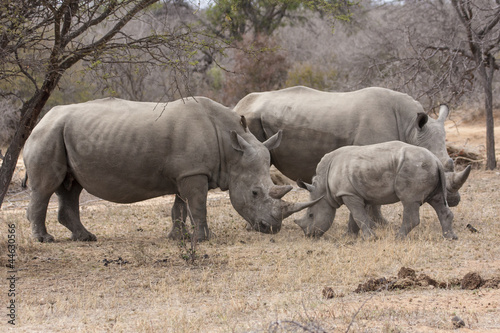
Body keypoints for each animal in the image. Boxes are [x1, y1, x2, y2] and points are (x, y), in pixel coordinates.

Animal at [24, 96, 316, 241]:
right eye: (255, 193)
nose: (271, 228)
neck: (231, 148)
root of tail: (41, 120)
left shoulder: (185, 172)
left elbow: (180, 207)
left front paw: (178, 237)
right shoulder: (193, 173)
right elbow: (197, 205)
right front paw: (203, 238)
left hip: (60, 133)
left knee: (71, 187)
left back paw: (85, 238)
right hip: (47, 134)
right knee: (46, 188)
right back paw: (45, 239)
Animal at [294, 140, 470, 239]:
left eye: (310, 215)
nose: (308, 235)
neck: (323, 188)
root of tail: (436, 160)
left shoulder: (348, 193)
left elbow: (358, 216)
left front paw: (370, 238)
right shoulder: (356, 192)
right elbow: (355, 217)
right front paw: (349, 237)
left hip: (414, 168)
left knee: (409, 201)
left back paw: (398, 238)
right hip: (428, 169)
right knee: (437, 200)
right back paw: (450, 237)